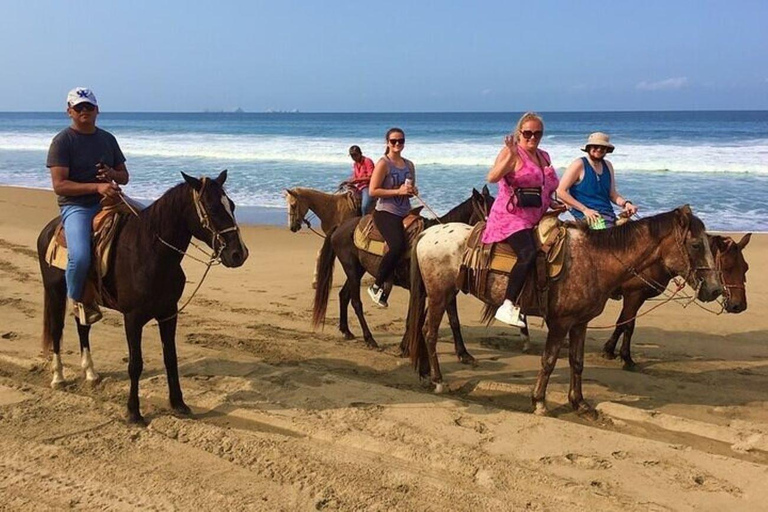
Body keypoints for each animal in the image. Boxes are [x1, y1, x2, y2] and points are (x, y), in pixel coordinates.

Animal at [37, 172, 248, 424]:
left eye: (232, 205)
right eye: (212, 207)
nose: (239, 254)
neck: (152, 253)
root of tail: (48, 229)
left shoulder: (169, 313)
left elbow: (170, 358)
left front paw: (178, 403)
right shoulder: (133, 318)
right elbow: (135, 364)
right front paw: (133, 412)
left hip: (85, 298)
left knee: (82, 326)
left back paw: (90, 372)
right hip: (55, 291)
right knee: (57, 329)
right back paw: (58, 377)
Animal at [310, 186, 492, 358]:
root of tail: (340, 227)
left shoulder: (446, 291)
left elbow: (453, 320)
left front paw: (463, 353)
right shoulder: (418, 290)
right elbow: (413, 319)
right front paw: (405, 348)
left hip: (358, 270)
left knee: (344, 295)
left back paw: (346, 331)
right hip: (352, 269)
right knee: (356, 302)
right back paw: (369, 339)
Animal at [404, 205, 724, 416]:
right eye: (696, 244)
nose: (714, 289)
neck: (596, 260)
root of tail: (429, 233)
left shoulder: (580, 323)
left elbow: (577, 362)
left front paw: (579, 403)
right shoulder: (560, 323)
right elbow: (548, 361)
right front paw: (539, 401)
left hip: (441, 295)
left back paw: (425, 373)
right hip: (440, 294)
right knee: (429, 332)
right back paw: (438, 381)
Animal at [600, 234, 752, 370]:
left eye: (746, 267)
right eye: (727, 267)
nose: (739, 305)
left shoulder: (635, 297)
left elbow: (621, 322)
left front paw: (609, 350)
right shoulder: (634, 295)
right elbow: (628, 325)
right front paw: (627, 358)